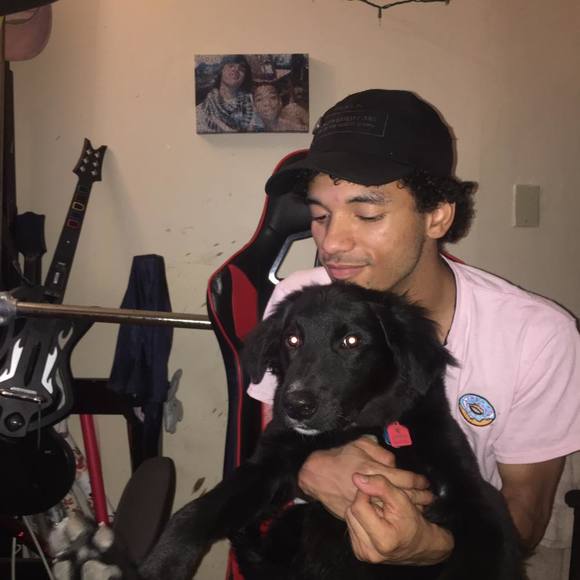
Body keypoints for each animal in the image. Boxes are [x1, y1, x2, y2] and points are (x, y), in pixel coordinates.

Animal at [53, 282, 526, 580]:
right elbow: (196, 511)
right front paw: (162, 565)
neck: (360, 428)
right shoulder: (268, 465)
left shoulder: (472, 494)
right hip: (298, 515)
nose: (294, 405)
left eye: (352, 342)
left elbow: (490, 551)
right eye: (292, 340)